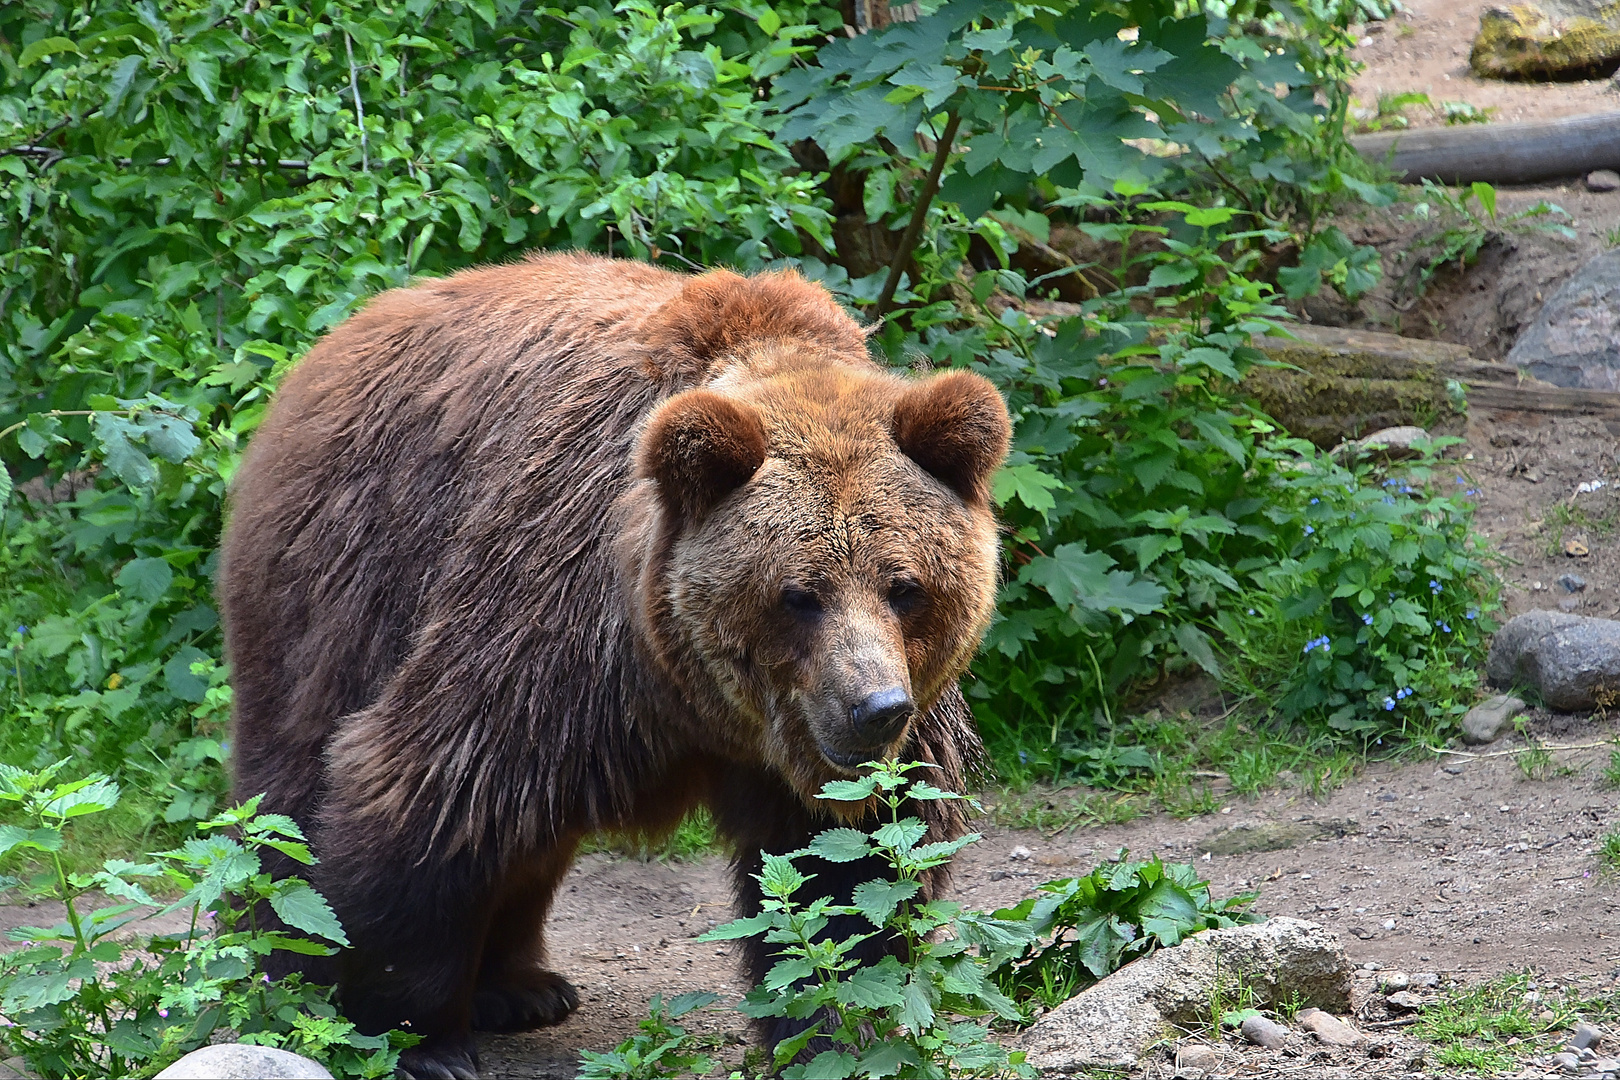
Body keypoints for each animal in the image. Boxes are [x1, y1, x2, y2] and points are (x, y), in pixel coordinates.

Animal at [215, 254, 997, 1080]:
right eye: (798, 594)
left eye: (905, 586)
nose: (874, 708)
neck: (693, 695)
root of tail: (334, 341)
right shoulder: (560, 624)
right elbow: (436, 788)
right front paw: (416, 1036)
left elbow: (854, 868)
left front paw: (837, 1026)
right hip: (345, 573)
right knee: (292, 788)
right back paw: (296, 972)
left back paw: (522, 989)